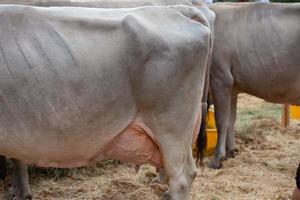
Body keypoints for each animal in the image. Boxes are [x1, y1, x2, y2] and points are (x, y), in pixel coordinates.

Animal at [207, 2, 300, 169]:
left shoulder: (221, 78)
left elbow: (221, 121)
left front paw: (217, 159)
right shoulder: (233, 87)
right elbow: (231, 120)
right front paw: (231, 152)